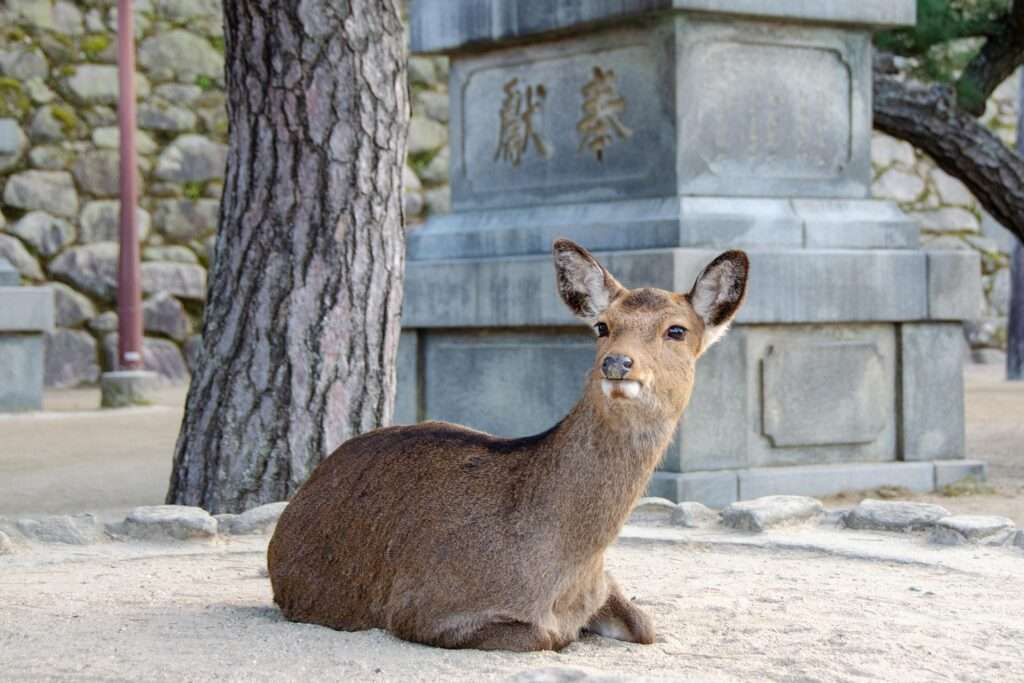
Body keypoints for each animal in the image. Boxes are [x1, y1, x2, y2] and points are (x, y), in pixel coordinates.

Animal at [267, 239, 749, 652]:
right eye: (602, 326)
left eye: (677, 330)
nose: (617, 362)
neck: (564, 569)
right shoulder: (423, 607)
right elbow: (547, 637)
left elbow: (645, 624)